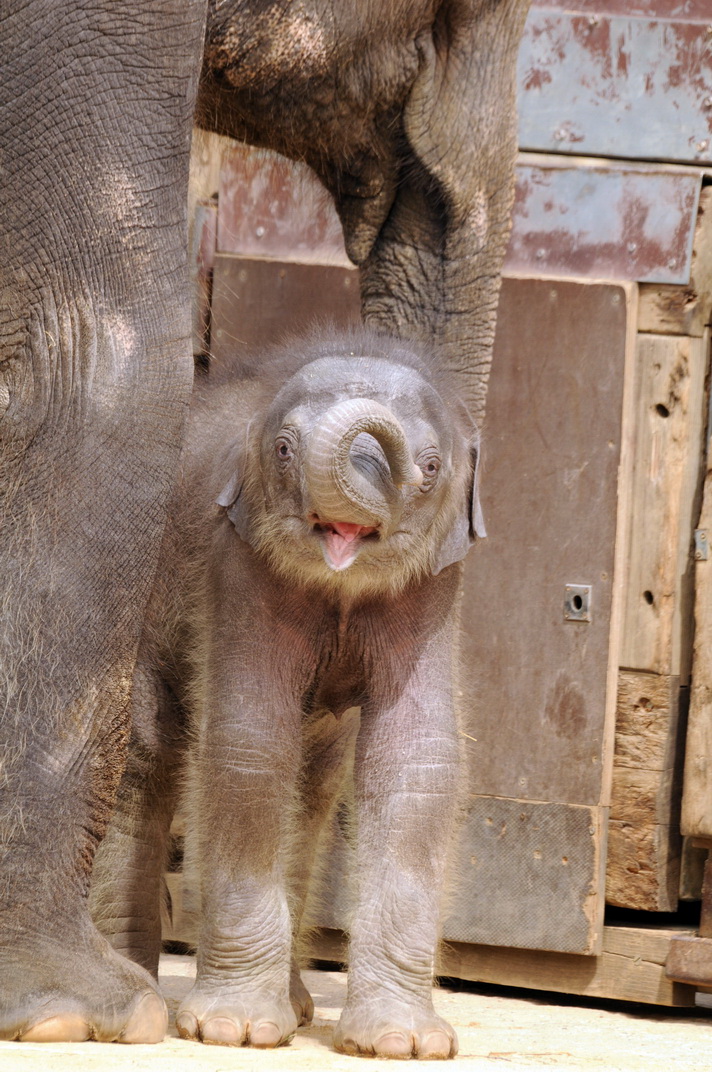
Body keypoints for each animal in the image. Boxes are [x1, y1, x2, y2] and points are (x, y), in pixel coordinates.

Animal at [91, 323, 484, 1054]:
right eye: (281, 449)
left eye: (431, 466)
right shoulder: (235, 558)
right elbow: (250, 743)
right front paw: (236, 1030)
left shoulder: (436, 587)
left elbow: (416, 758)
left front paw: (401, 1043)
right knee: (145, 752)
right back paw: (135, 992)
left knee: (316, 783)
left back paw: (297, 1005)